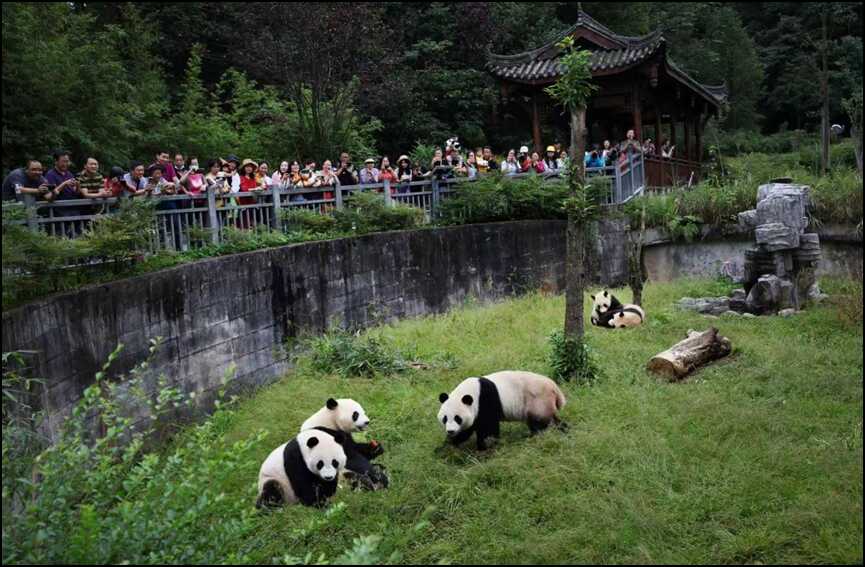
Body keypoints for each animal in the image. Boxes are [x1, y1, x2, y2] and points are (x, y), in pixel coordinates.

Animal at [437, 370, 567, 451]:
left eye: (457, 418)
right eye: (445, 418)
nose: (450, 431)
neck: (472, 391)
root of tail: (555, 388)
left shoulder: (485, 400)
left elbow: (488, 427)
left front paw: (484, 446)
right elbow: (467, 430)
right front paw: (446, 446)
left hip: (537, 401)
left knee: (540, 422)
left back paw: (536, 436)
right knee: (550, 420)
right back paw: (563, 430)